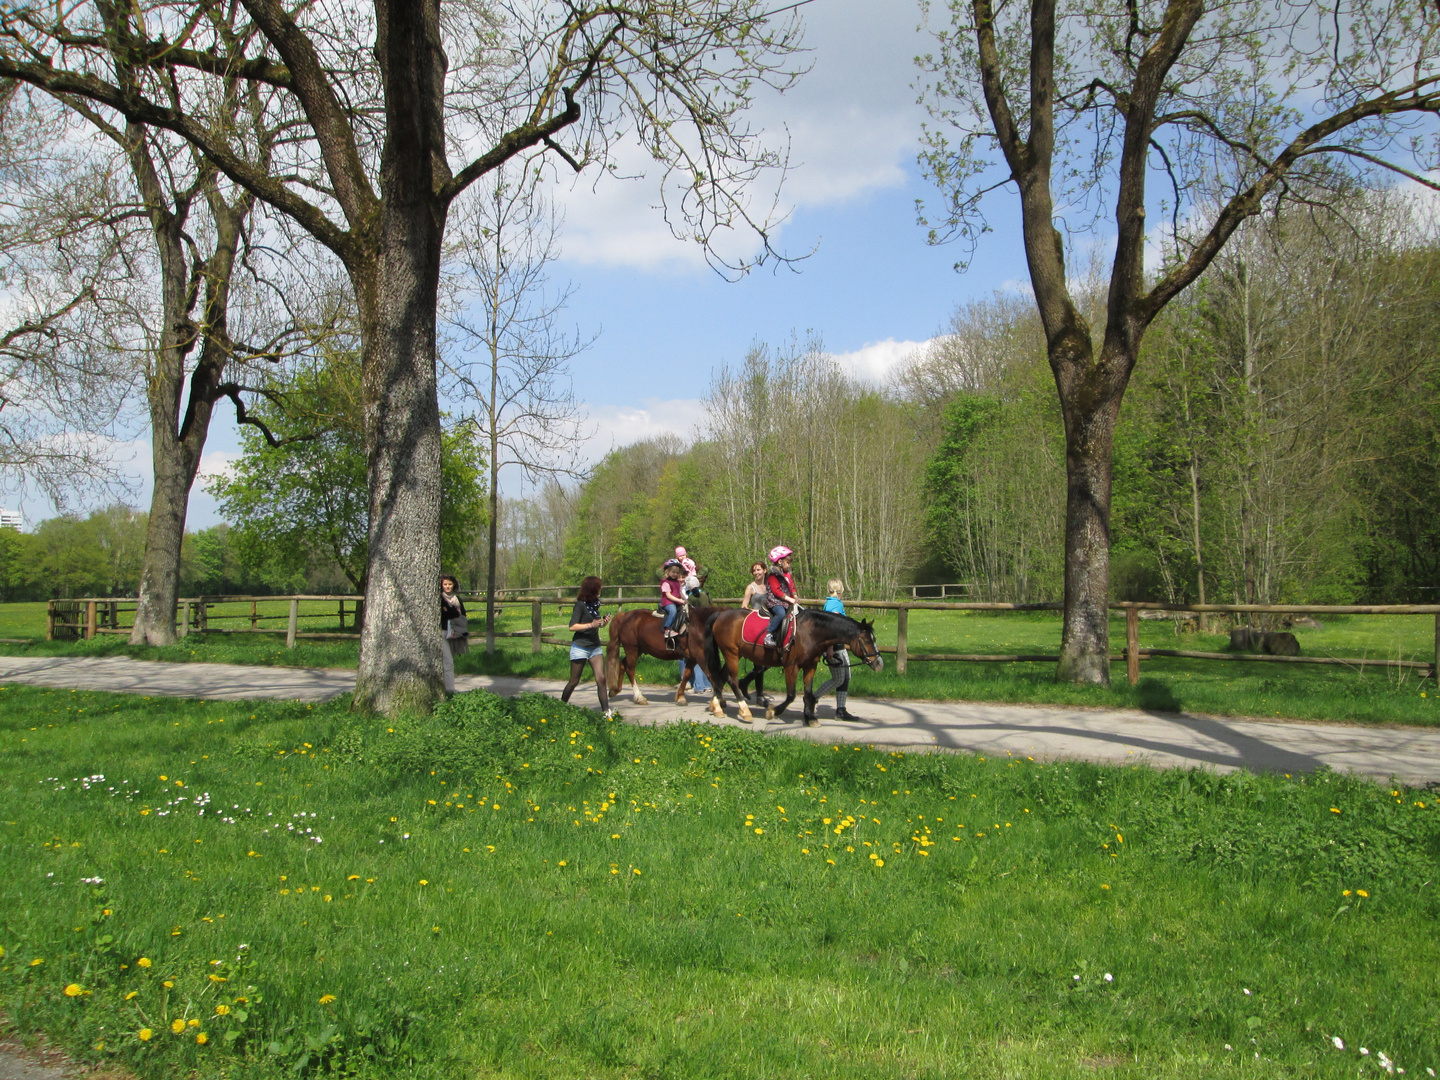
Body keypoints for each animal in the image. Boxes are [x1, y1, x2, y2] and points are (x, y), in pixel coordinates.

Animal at [705, 610, 881, 728]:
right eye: (866, 641)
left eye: (874, 639)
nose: (879, 663)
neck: (810, 633)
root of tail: (721, 615)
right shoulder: (791, 667)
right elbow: (791, 695)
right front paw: (773, 712)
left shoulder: (810, 666)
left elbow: (808, 693)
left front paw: (810, 717)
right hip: (731, 653)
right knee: (732, 681)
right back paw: (745, 711)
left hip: (735, 654)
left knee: (720, 677)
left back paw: (717, 707)